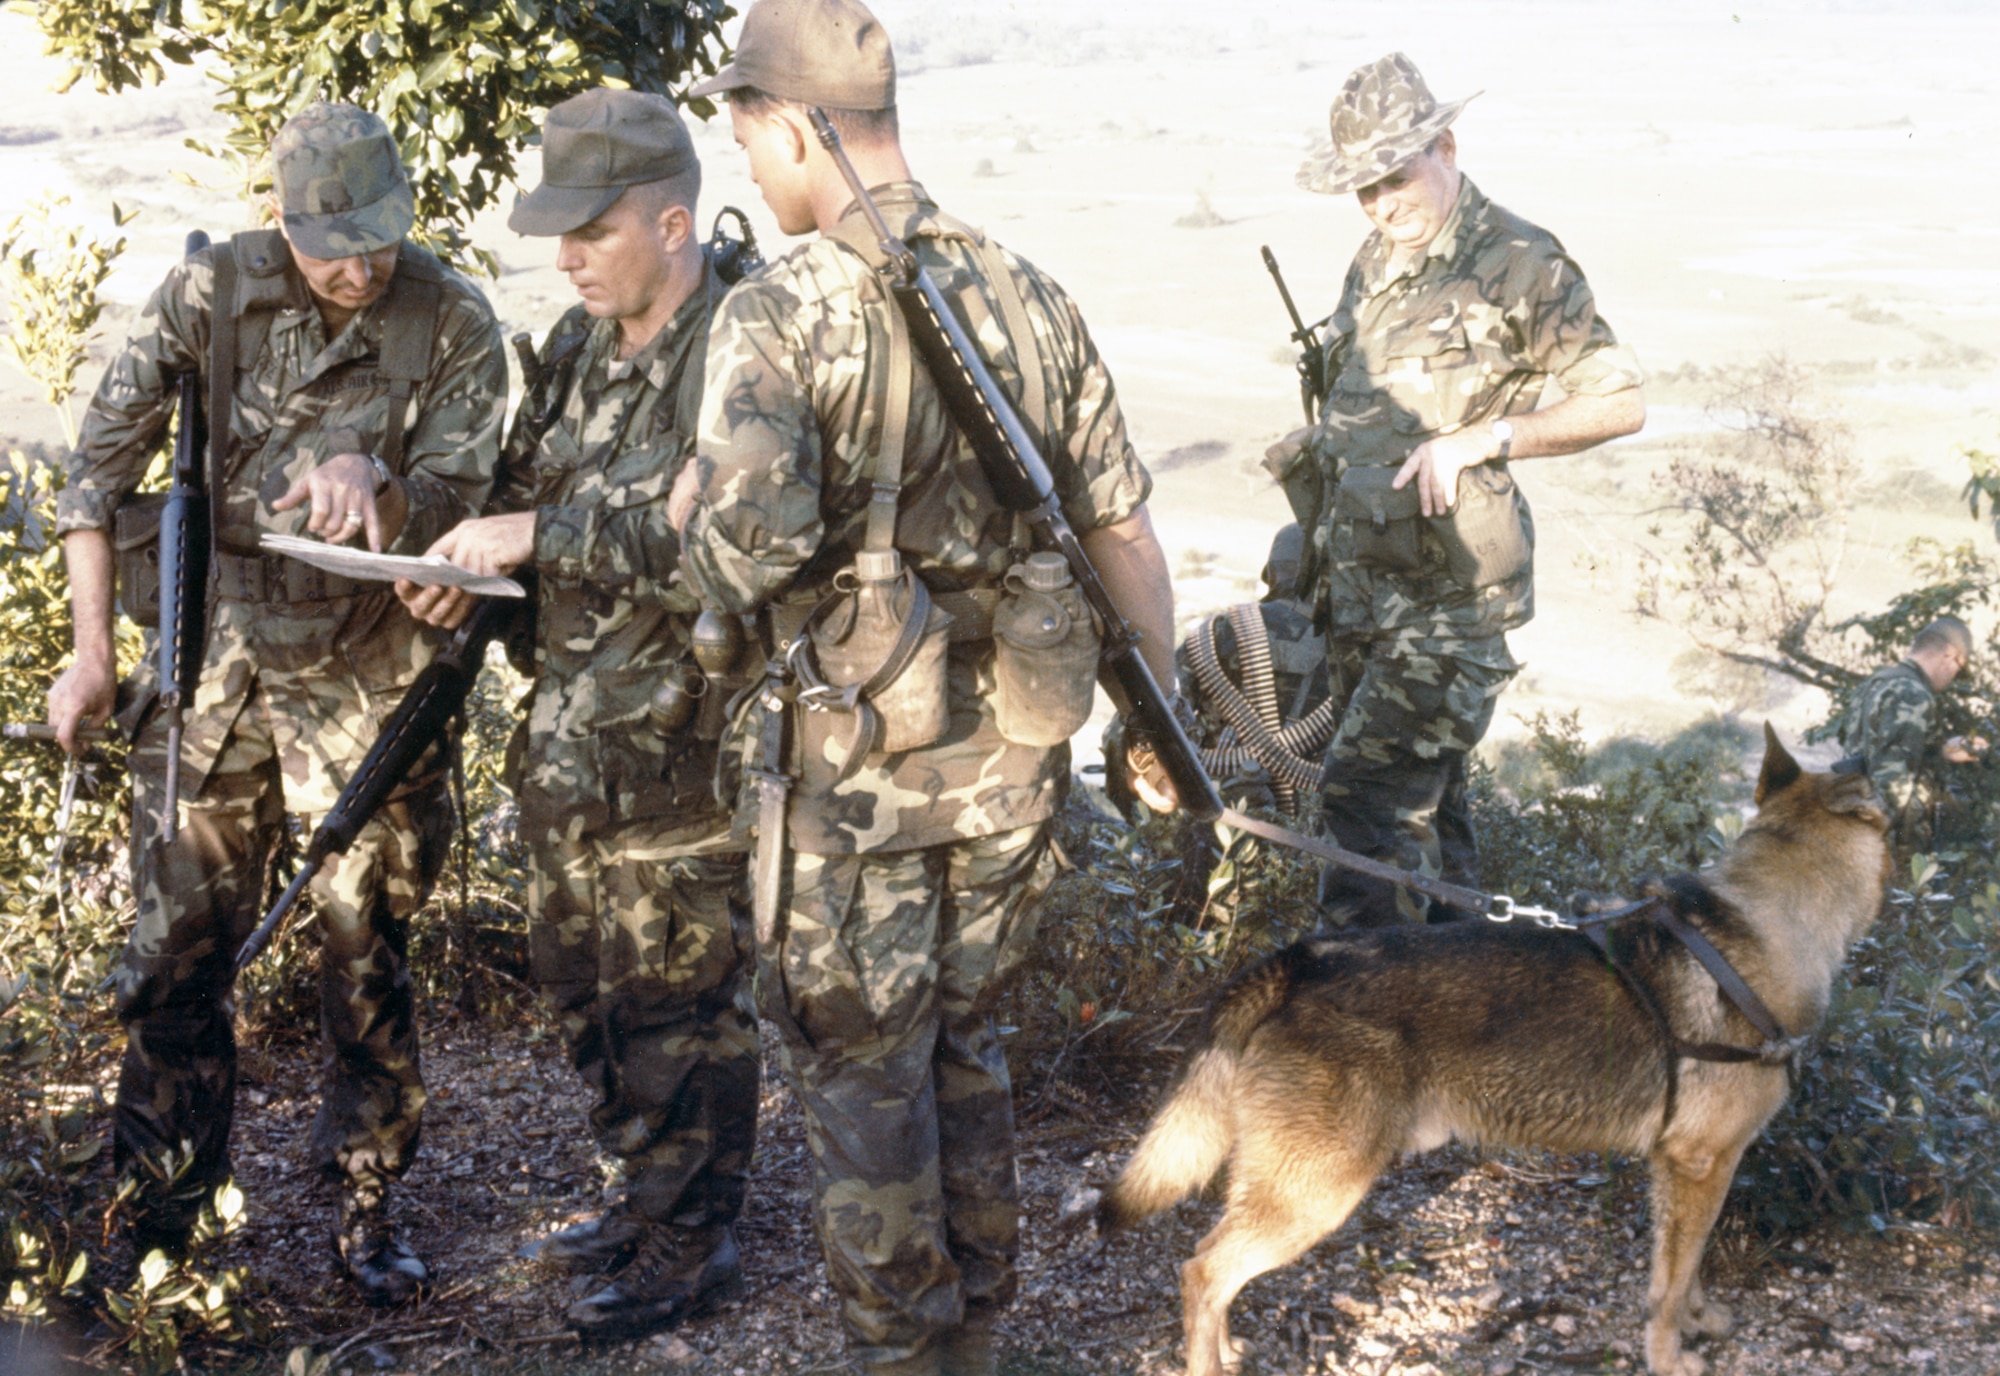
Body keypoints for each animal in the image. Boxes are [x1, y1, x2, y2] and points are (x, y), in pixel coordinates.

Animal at [1104, 724, 1896, 1368]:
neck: (1769, 919)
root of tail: (1301, 960)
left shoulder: (1693, 1171)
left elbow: (1687, 1269)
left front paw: (1701, 1320)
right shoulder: (1700, 1166)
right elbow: (1667, 1288)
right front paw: (1671, 1356)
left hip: (1285, 1185)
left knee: (1212, 1271)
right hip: (1316, 1193)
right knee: (1202, 1272)